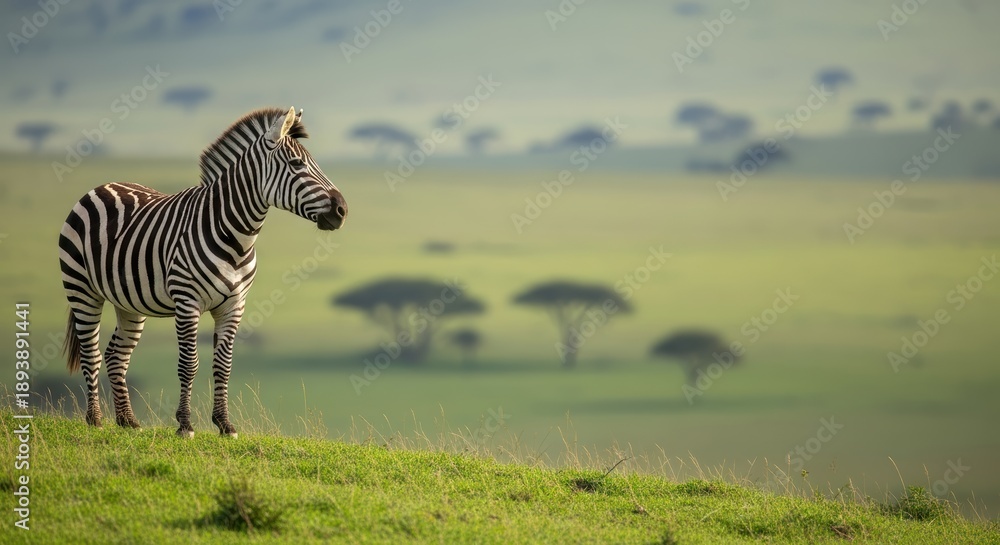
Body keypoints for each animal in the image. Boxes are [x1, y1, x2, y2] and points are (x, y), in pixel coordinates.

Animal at [59, 107, 347, 438]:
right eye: (298, 164)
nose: (342, 210)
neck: (236, 238)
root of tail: (102, 186)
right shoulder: (188, 302)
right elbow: (189, 363)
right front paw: (185, 424)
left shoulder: (234, 306)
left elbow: (223, 364)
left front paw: (224, 423)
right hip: (82, 290)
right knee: (91, 353)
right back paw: (94, 419)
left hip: (128, 302)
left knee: (116, 356)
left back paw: (128, 420)